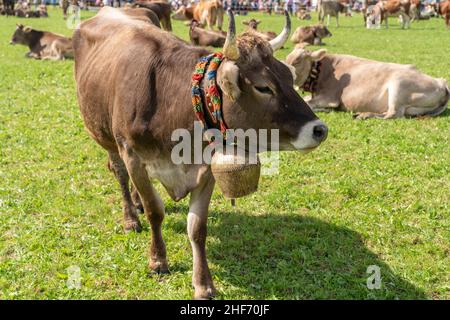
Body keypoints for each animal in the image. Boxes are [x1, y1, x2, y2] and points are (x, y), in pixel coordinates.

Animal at [286, 48, 448, 120]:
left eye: (297, 61)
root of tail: (442, 82)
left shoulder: (330, 98)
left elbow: (308, 103)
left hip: (398, 85)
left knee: (393, 114)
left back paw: (363, 115)